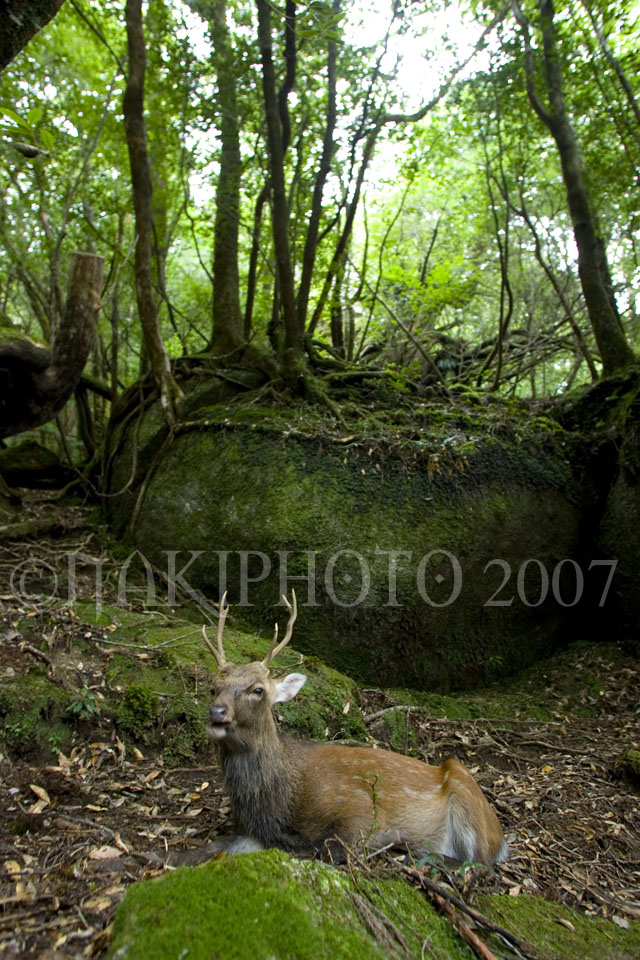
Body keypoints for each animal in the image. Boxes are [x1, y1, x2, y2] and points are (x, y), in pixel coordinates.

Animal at [202, 591, 509, 865]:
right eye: (213, 687)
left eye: (258, 690)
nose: (216, 712)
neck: (283, 799)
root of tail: (502, 839)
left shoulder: (358, 807)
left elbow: (331, 847)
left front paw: (388, 840)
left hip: (464, 790)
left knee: (480, 863)